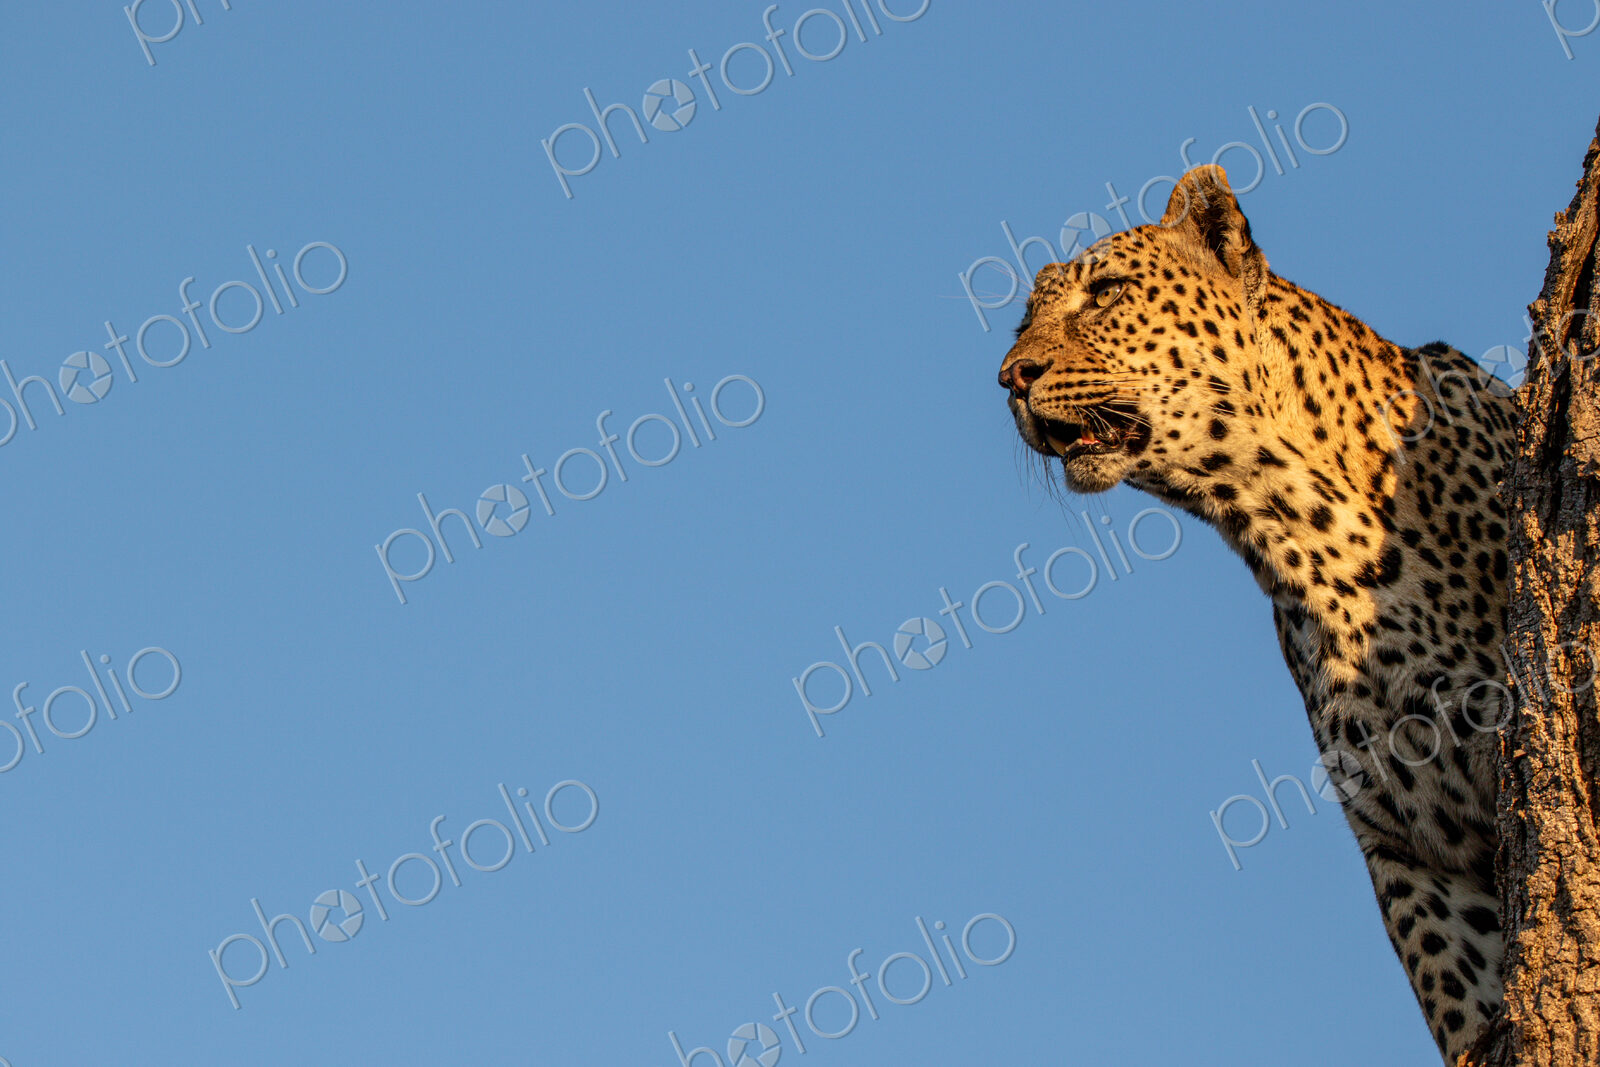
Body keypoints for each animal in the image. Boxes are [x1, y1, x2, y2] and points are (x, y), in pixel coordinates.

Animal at [997, 164, 1516, 1064]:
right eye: (1026, 319)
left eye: (1107, 292)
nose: (1008, 377)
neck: (1292, 527)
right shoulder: (1411, 844)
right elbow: (1457, 994)